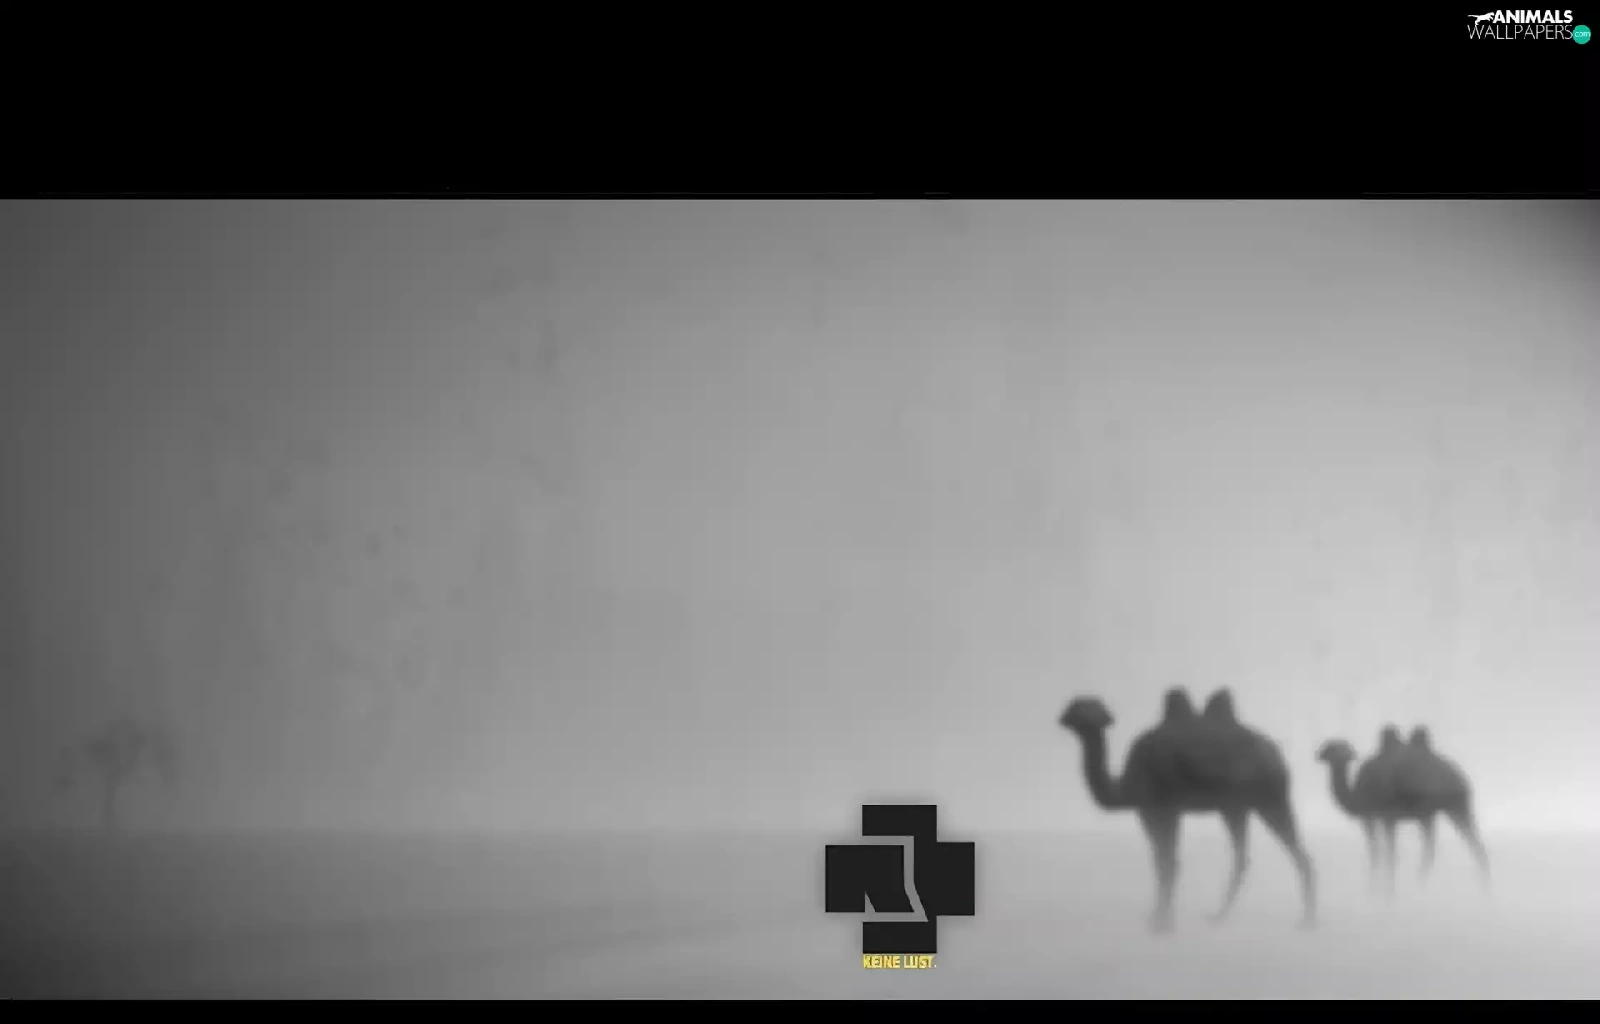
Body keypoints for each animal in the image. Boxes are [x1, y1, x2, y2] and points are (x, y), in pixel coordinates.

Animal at [1059, 686, 1317, 933]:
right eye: (1076, 706)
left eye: (1092, 708)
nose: (1068, 717)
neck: (1128, 784)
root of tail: (1277, 755)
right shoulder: (1151, 811)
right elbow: (1159, 861)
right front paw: (1156, 917)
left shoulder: (1161, 808)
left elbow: (1168, 862)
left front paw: (1162, 924)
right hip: (1235, 806)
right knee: (1244, 855)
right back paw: (1218, 916)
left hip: (1270, 798)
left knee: (1294, 852)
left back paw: (1307, 921)